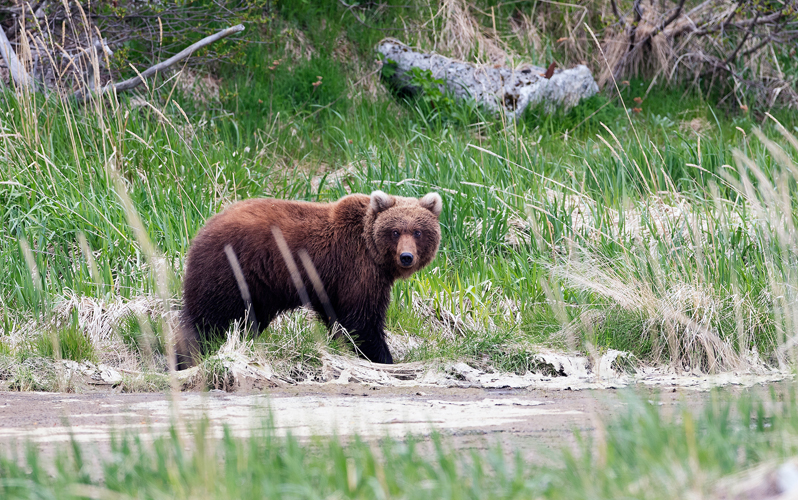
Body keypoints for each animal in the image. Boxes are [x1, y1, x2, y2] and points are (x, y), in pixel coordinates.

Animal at [174, 191, 444, 372]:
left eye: (418, 232)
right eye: (395, 231)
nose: (406, 256)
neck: (373, 251)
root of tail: (204, 228)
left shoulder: (334, 283)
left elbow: (339, 318)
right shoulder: (356, 269)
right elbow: (362, 320)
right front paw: (383, 357)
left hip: (258, 289)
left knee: (246, 319)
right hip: (229, 270)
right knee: (207, 317)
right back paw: (186, 358)